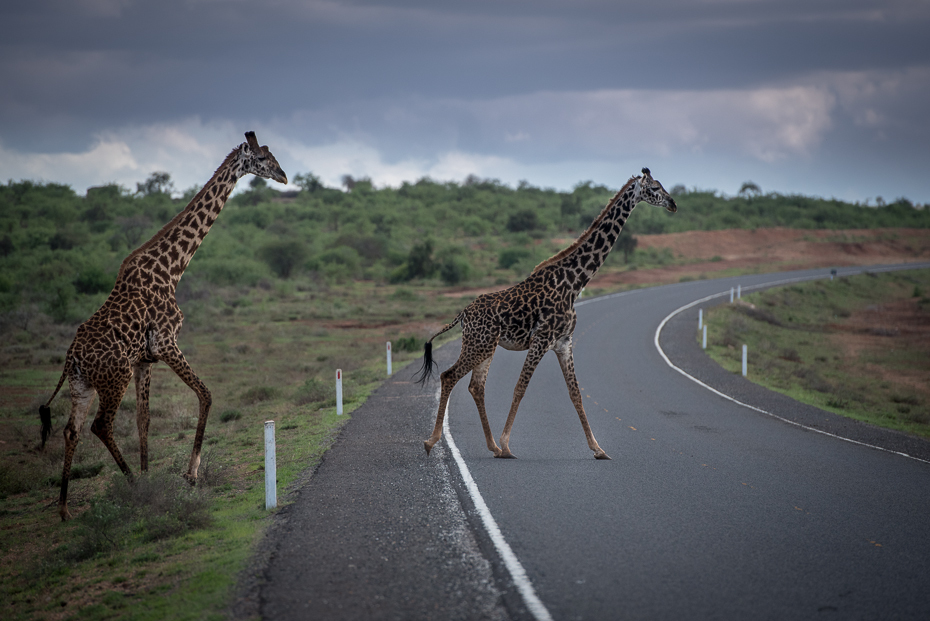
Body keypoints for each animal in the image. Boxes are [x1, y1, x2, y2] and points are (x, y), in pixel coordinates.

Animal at [40, 133, 286, 520]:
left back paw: (64, 508)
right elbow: (206, 394)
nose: (284, 176)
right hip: (115, 377)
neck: (172, 269)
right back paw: (132, 486)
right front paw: (188, 475)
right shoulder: (166, 343)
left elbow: (145, 419)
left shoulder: (145, 359)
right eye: (262, 159)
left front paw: (150, 473)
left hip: (83, 385)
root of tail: (71, 360)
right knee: (101, 425)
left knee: (71, 430)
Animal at [418, 167, 676, 458]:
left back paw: (492, 446)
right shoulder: (541, 339)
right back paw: (434, 441)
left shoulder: (564, 342)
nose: (673, 204)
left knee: (476, 386)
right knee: (449, 376)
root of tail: (462, 314)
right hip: (479, 344)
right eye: (654, 188)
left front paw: (598, 449)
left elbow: (575, 393)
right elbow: (520, 387)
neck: (576, 283)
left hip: (485, 346)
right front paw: (508, 444)